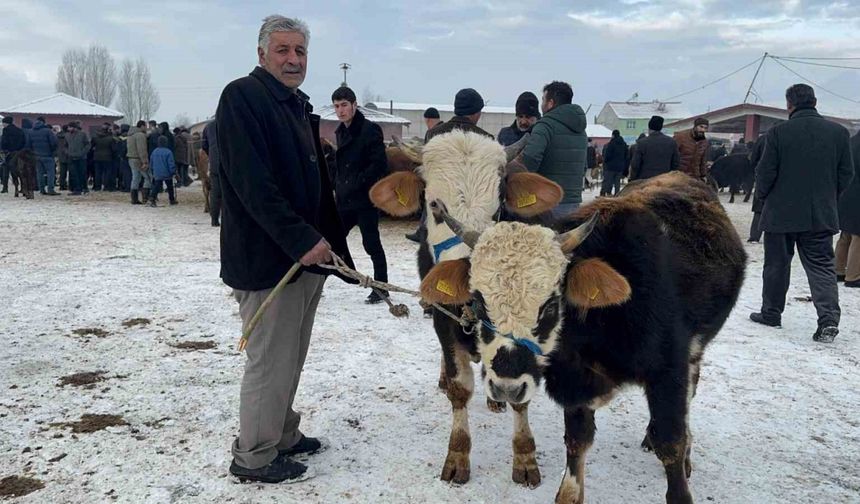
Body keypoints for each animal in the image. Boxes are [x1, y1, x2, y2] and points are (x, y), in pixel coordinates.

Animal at [370, 129, 564, 484]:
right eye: (434, 205)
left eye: (499, 206)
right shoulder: (444, 320)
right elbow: (459, 388)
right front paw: (457, 456)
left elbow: (520, 394)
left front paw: (525, 459)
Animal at [426, 174, 748, 504]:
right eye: (478, 303)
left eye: (551, 305)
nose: (507, 388)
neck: (608, 318)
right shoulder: (576, 379)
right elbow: (577, 440)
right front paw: (569, 493)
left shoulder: (669, 372)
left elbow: (671, 442)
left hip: (693, 356)